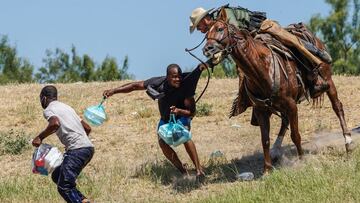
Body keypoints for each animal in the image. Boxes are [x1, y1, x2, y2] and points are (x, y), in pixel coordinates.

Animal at [204, 8, 352, 173]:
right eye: (206, 34)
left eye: (220, 29)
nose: (207, 49)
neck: (262, 69)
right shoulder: (261, 110)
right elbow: (265, 139)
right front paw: (267, 169)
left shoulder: (292, 105)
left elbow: (295, 135)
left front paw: (302, 161)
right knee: (284, 121)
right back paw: (275, 151)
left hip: (328, 81)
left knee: (337, 107)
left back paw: (348, 143)